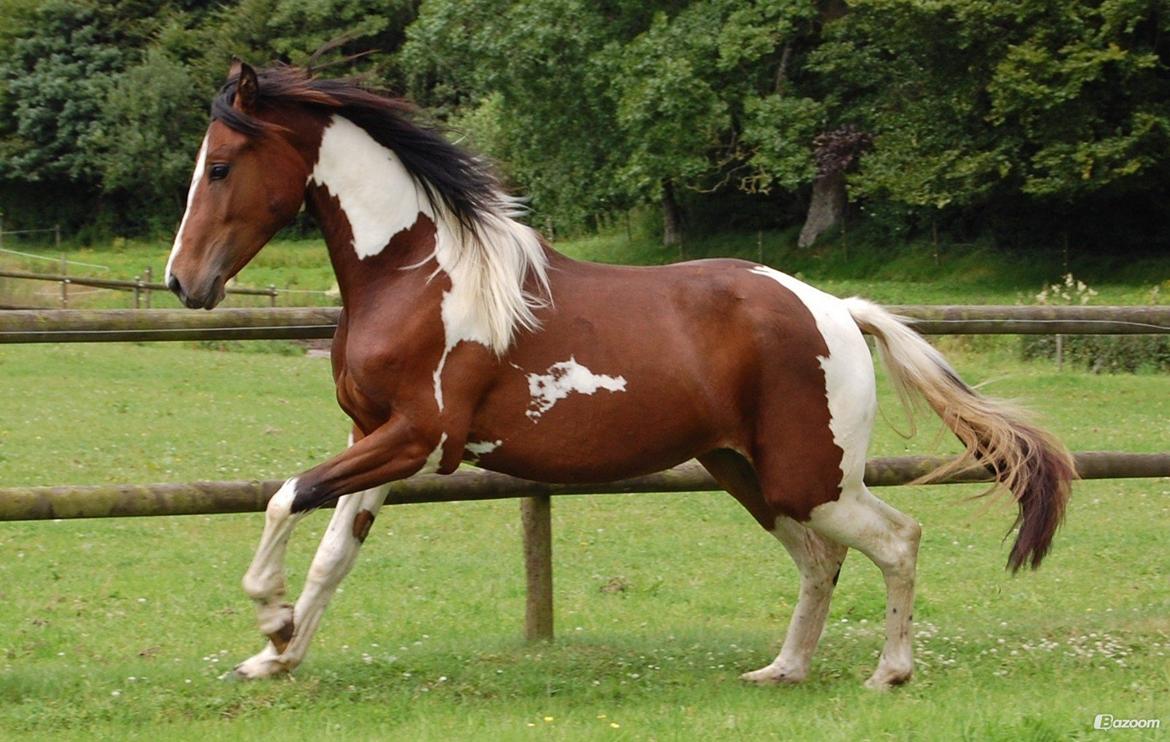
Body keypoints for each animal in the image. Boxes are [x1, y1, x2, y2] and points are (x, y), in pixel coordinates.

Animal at [167, 62, 1076, 688]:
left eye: (221, 165)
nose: (183, 282)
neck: (417, 274)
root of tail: (837, 310)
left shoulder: (417, 438)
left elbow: (286, 497)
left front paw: (270, 616)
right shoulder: (377, 439)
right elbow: (332, 551)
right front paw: (276, 658)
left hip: (810, 478)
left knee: (896, 540)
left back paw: (888, 673)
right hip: (749, 474)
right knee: (822, 562)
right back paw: (780, 672)